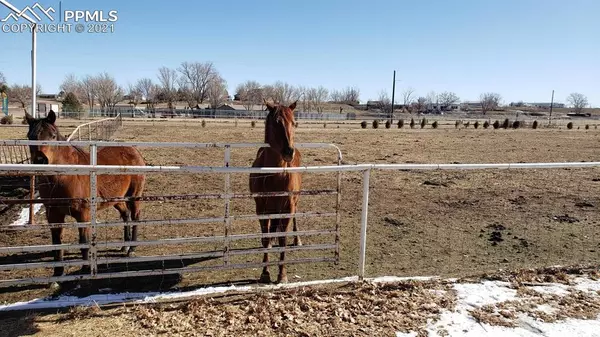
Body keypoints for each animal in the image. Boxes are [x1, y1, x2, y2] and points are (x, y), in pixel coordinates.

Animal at [23, 110, 146, 276]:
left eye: (53, 135)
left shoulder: (83, 214)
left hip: (134, 196)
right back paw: (125, 245)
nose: (41, 160)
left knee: (135, 216)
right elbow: (57, 243)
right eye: (30, 136)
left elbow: (84, 242)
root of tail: (134, 151)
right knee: (125, 215)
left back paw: (132, 248)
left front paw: (86, 268)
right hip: (116, 199)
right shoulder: (53, 215)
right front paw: (58, 273)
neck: (64, 178)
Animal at [250, 100, 302, 284]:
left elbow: (283, 239)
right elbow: (266, 239)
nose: (289, 152)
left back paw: (297, 239)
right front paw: (265, 273)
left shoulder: (287, 207)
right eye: (276, 123)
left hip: (295, 202)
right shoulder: (261, 208)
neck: (276, 175)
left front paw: (282, 275)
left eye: (294, 123)